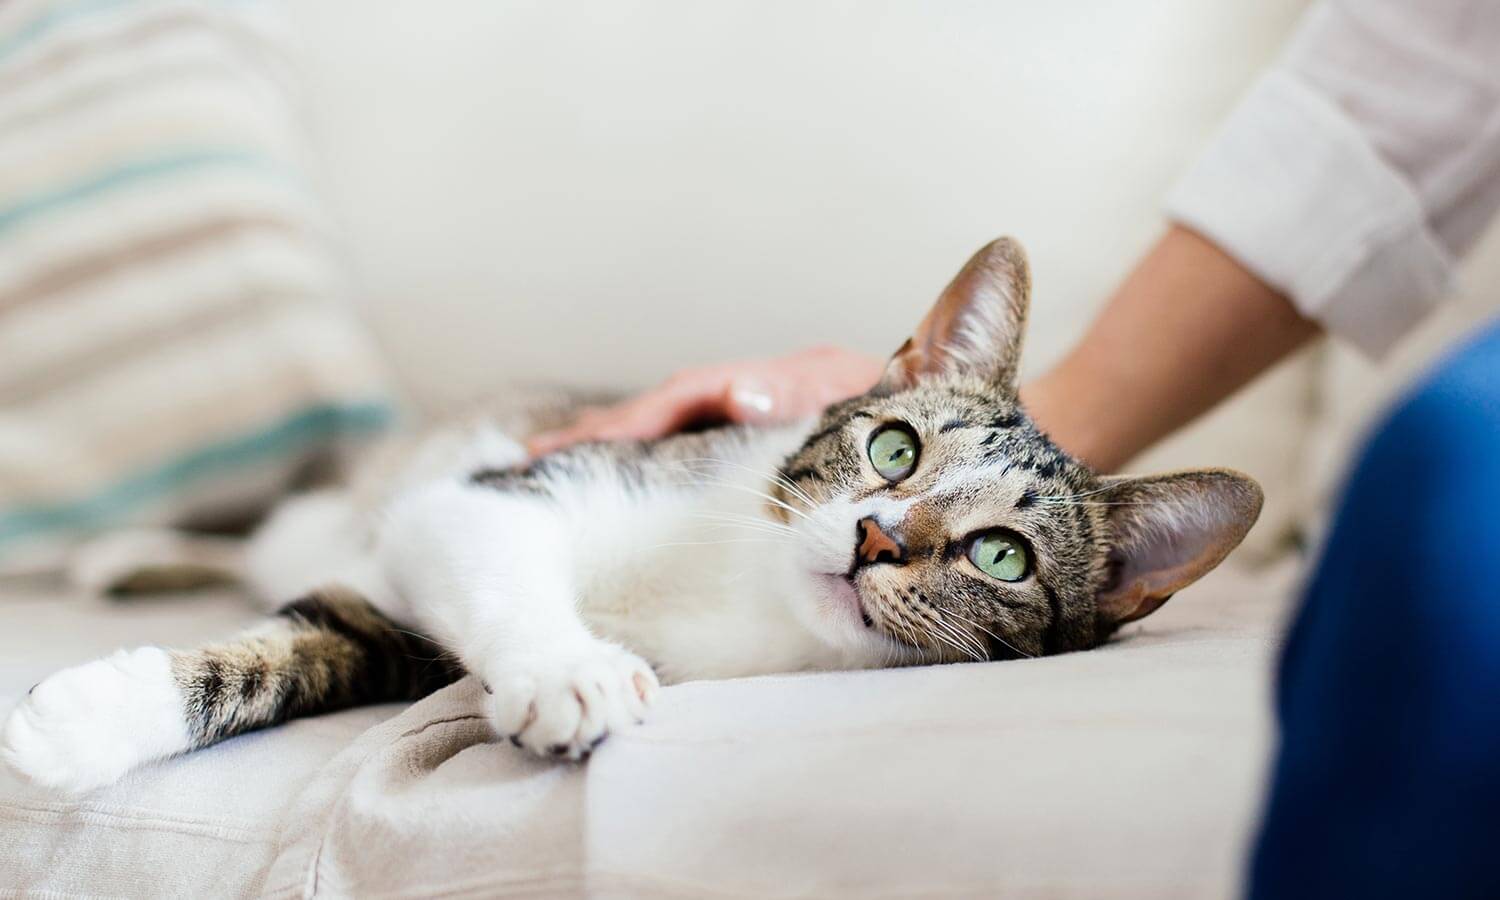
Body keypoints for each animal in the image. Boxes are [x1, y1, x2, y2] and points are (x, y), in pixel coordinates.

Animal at [2, 238, 1266, 792]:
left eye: (1001, 555)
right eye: (894, 449)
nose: (876, 539)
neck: (742, 593)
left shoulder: (398, 630)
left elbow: (313, 652)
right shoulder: (498, 492)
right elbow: (475, 556)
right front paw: (571, 668)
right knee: (273, 532)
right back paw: (128, 550)